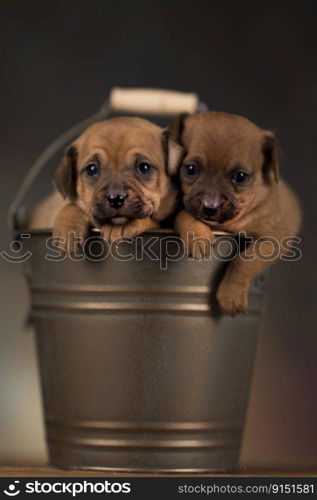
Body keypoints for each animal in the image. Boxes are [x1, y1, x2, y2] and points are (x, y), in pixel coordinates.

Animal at [52, 116, 181, 250]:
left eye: (144, 167)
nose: (115, 199)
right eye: (91, 169)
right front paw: (68, 229)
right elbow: (70, 206)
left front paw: (121, 227)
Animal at [169, 113, 300, 316]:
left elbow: (245, 260)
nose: (210, 207)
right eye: (190, 169)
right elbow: (185, 213)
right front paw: (197, 236)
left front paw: (231, 296)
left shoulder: (275, 238)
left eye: (240, 177)